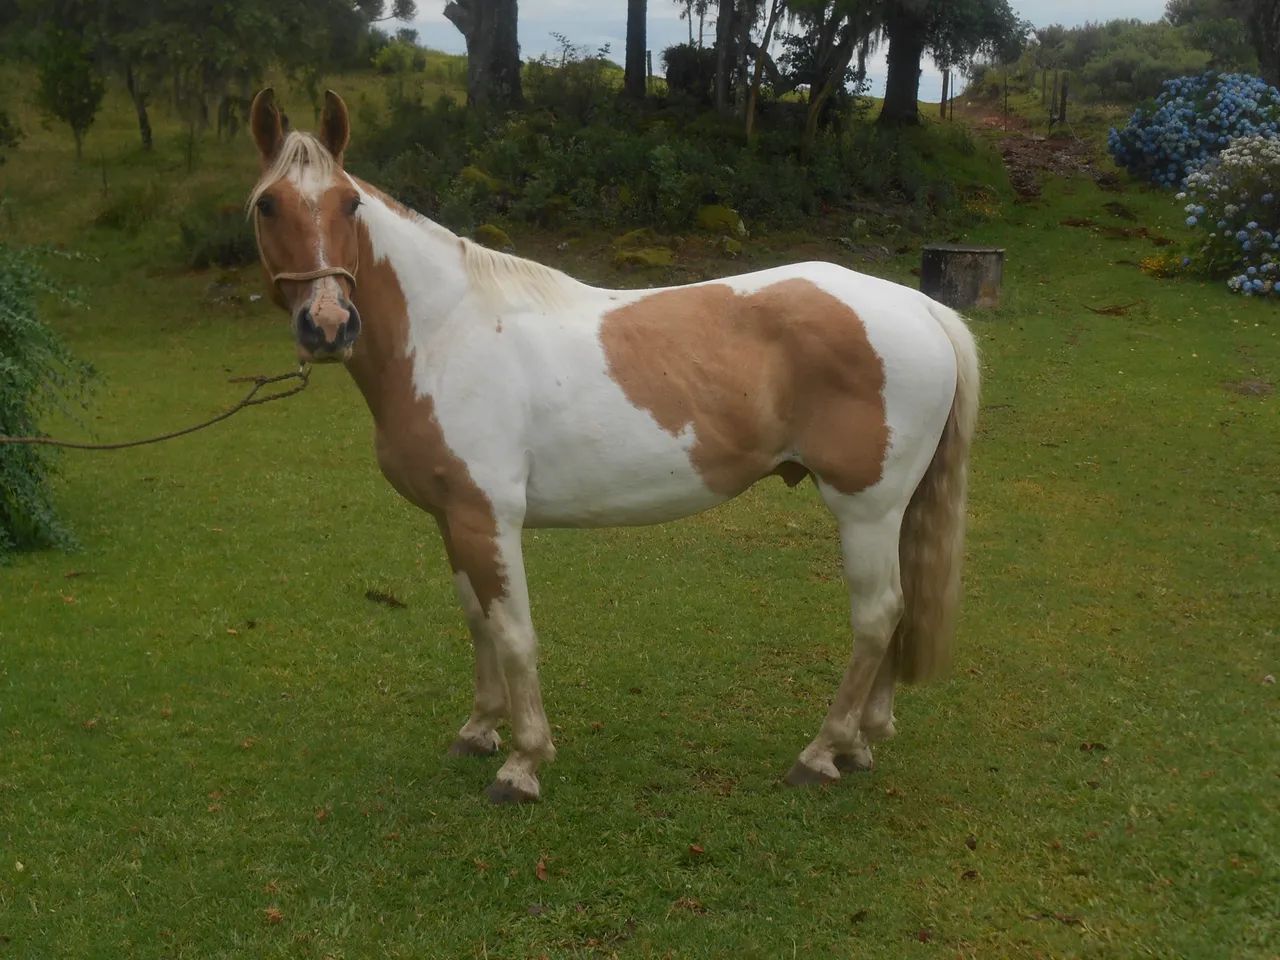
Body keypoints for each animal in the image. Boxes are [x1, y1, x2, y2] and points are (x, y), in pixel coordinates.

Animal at [246, 89, 980, 804]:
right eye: (267, 204)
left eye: (348, 203)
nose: (328, 325)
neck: (446, 330)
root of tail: (921, 308)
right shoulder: (453, 517)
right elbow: (477, 620)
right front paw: (479, 729)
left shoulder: (489, 518)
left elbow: (513, 633)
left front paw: (523, 763)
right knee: (897, 615)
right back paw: (860, 742)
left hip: (867, 508)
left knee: (877, 616)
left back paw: (822, 752)